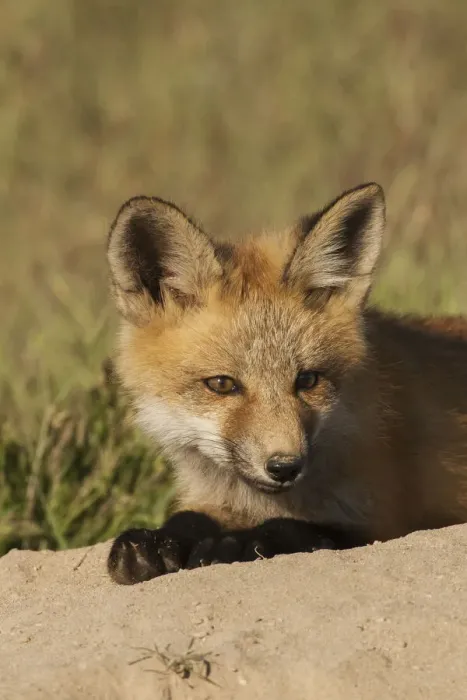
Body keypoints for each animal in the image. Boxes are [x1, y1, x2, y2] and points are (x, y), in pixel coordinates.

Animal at [105, 182, 467, 585]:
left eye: (307, 380)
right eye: (221, 384)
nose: (284, 467)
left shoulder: (389, 518)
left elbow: (300, 529)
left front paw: (237, 543)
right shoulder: (213, 497)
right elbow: (188, 518)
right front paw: (154, 542)